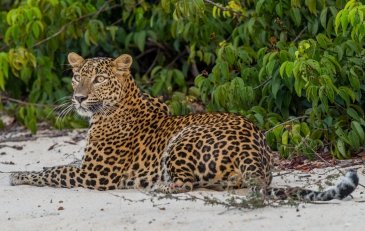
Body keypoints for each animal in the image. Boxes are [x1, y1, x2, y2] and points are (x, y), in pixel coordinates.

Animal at [9, 52, 358, 200]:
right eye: (76, 77)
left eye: (99, 80)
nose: (79, 98)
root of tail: (255, 150)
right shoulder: (86, 166)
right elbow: (59, 165)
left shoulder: (97, 174)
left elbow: (54, 173)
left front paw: (18, 175)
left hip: (182, 139)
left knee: (186, 184)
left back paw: (159, 187)